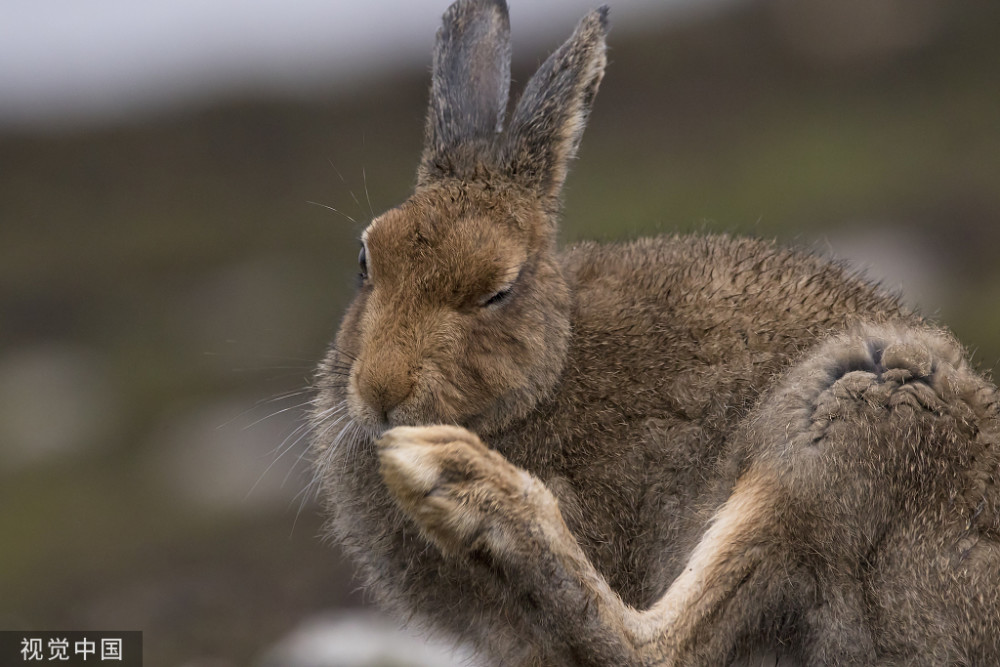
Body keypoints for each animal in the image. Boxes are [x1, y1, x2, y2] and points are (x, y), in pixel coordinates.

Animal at [308, 2, 996, 664]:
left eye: (497, 290)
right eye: (366, 261)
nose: (381, 390)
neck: (548, 376)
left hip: (859, 411)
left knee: (659, 648)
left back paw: (453, 478)